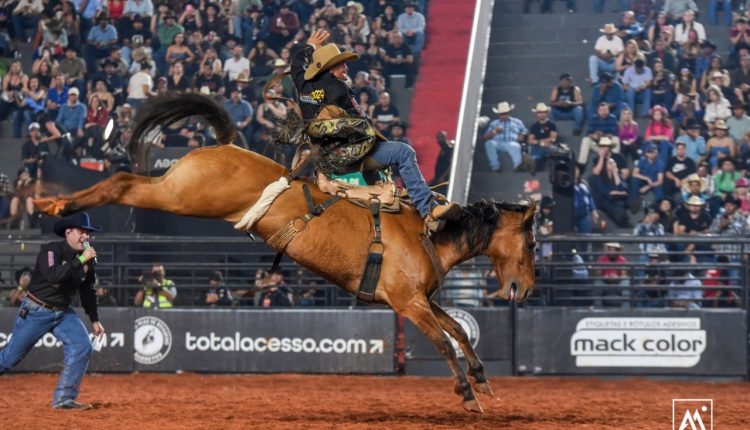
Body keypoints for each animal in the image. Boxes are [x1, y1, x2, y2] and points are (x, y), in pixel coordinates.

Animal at [35, 94, 536, 414]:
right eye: (531, 243)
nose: (525, 289)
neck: (427, 233)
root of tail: (226, 145)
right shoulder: (408, 303)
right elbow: (443, 340)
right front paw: (467, 394)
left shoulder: (421, 298)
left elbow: (459, 330)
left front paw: (482, 379)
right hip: (184, 195)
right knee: (124, 182)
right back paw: (54, 205)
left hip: (179, 191)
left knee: (125, 180)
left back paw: (53, 203)